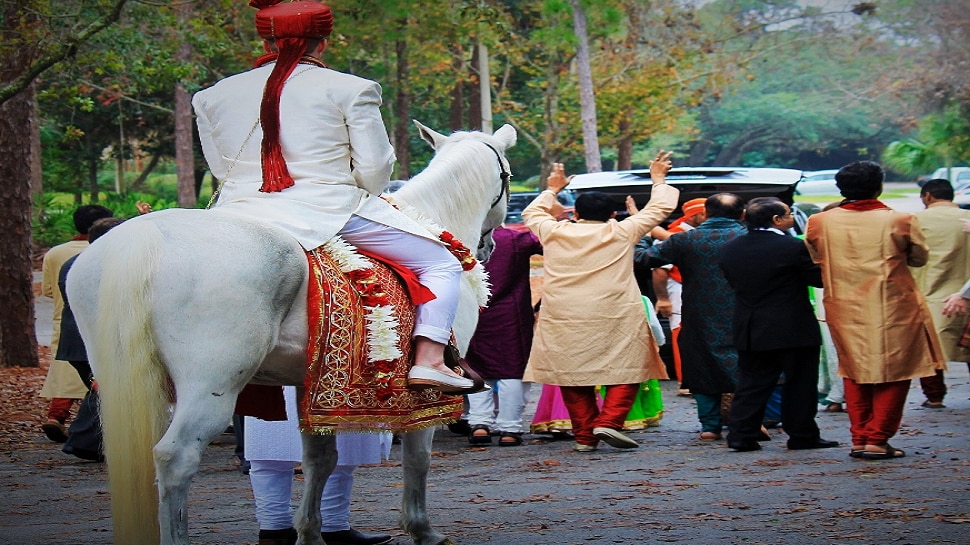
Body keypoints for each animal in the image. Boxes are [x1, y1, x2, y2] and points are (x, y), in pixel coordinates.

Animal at [69, 120, 520, 544]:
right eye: (508, 176)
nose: (489, 247)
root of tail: (142, 237)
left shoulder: (315, 385)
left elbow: (320, 459)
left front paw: (310, 532)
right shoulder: (425, 393)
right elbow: (418, 459)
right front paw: (422, 529)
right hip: (210, 386)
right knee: (175, 460)